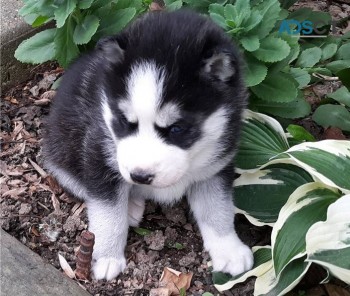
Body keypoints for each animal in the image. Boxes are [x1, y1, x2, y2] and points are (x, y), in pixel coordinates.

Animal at [43, 10, 252, 280]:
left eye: (177, 129)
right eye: (124, 121)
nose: (139, 176)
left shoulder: (215, 169)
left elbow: (217, 209)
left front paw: (229, 249)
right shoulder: (99, 156)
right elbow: (108, 213)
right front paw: (107, 257)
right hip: (62, 152)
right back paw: (130, 207)